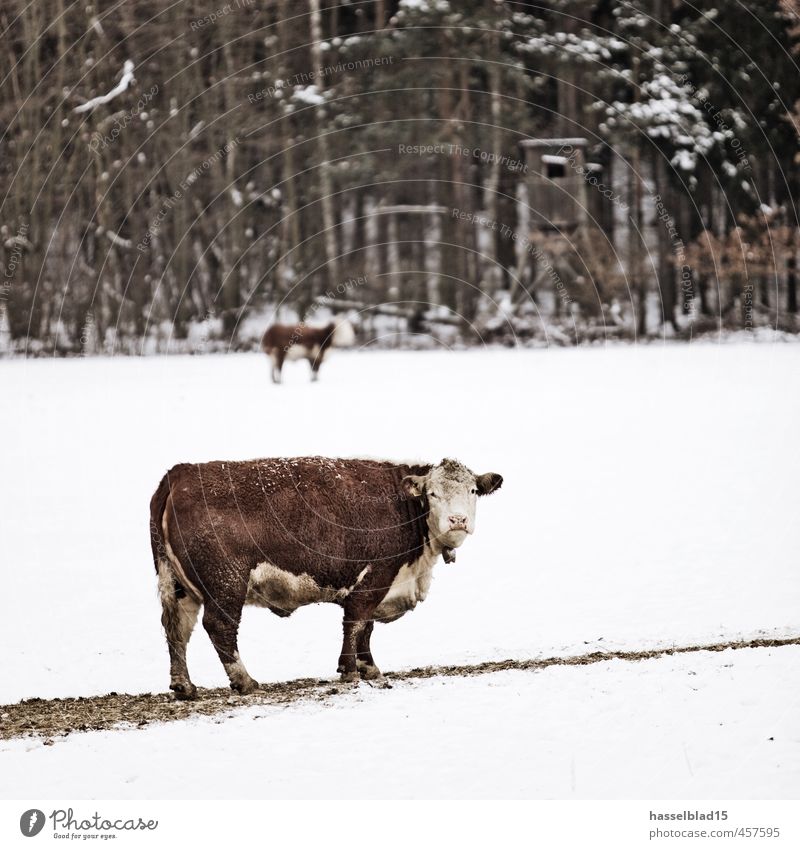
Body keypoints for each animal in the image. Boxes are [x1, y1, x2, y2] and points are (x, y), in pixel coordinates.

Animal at [150, 458, 500, 696]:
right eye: (433, 493)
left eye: (472, 491)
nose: (458, 520)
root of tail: (179, 474)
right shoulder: (374, 577)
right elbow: (356, 624)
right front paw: (350, 671)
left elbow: (366, 628)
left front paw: (369, 668)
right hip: (225, 584)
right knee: (219, 627)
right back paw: (245, 681)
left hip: (178, 585)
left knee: (176, 628)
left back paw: (184, 686)